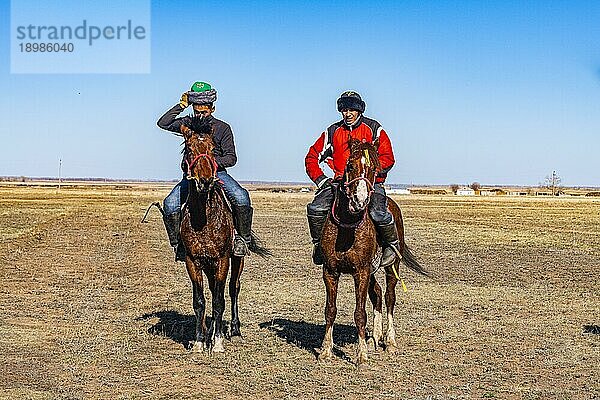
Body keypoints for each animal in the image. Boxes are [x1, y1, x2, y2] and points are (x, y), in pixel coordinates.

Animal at [177, 116, 268, 354]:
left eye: (212, 149)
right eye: (189, 149)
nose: (206, 181)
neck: (203, 218)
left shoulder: (222, 260)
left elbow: (219, 300)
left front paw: (217, 342)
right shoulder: (192, 261)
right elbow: (200, 301)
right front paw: (200, 340)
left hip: (236, 261)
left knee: (233, 289)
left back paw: (234, 329)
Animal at [316, 138, 428, 366]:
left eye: (374, 169)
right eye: (350, 165)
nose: (359, 201)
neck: (347, 227)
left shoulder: (361, 272)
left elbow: (360, 313)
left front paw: (361, 356)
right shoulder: (330, 271)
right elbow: (330, 310)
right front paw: (326, 350)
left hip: (391, 266)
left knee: (389, 297)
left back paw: (390, 341)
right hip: (372, 271)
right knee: (376, 294)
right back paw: (374, 337)